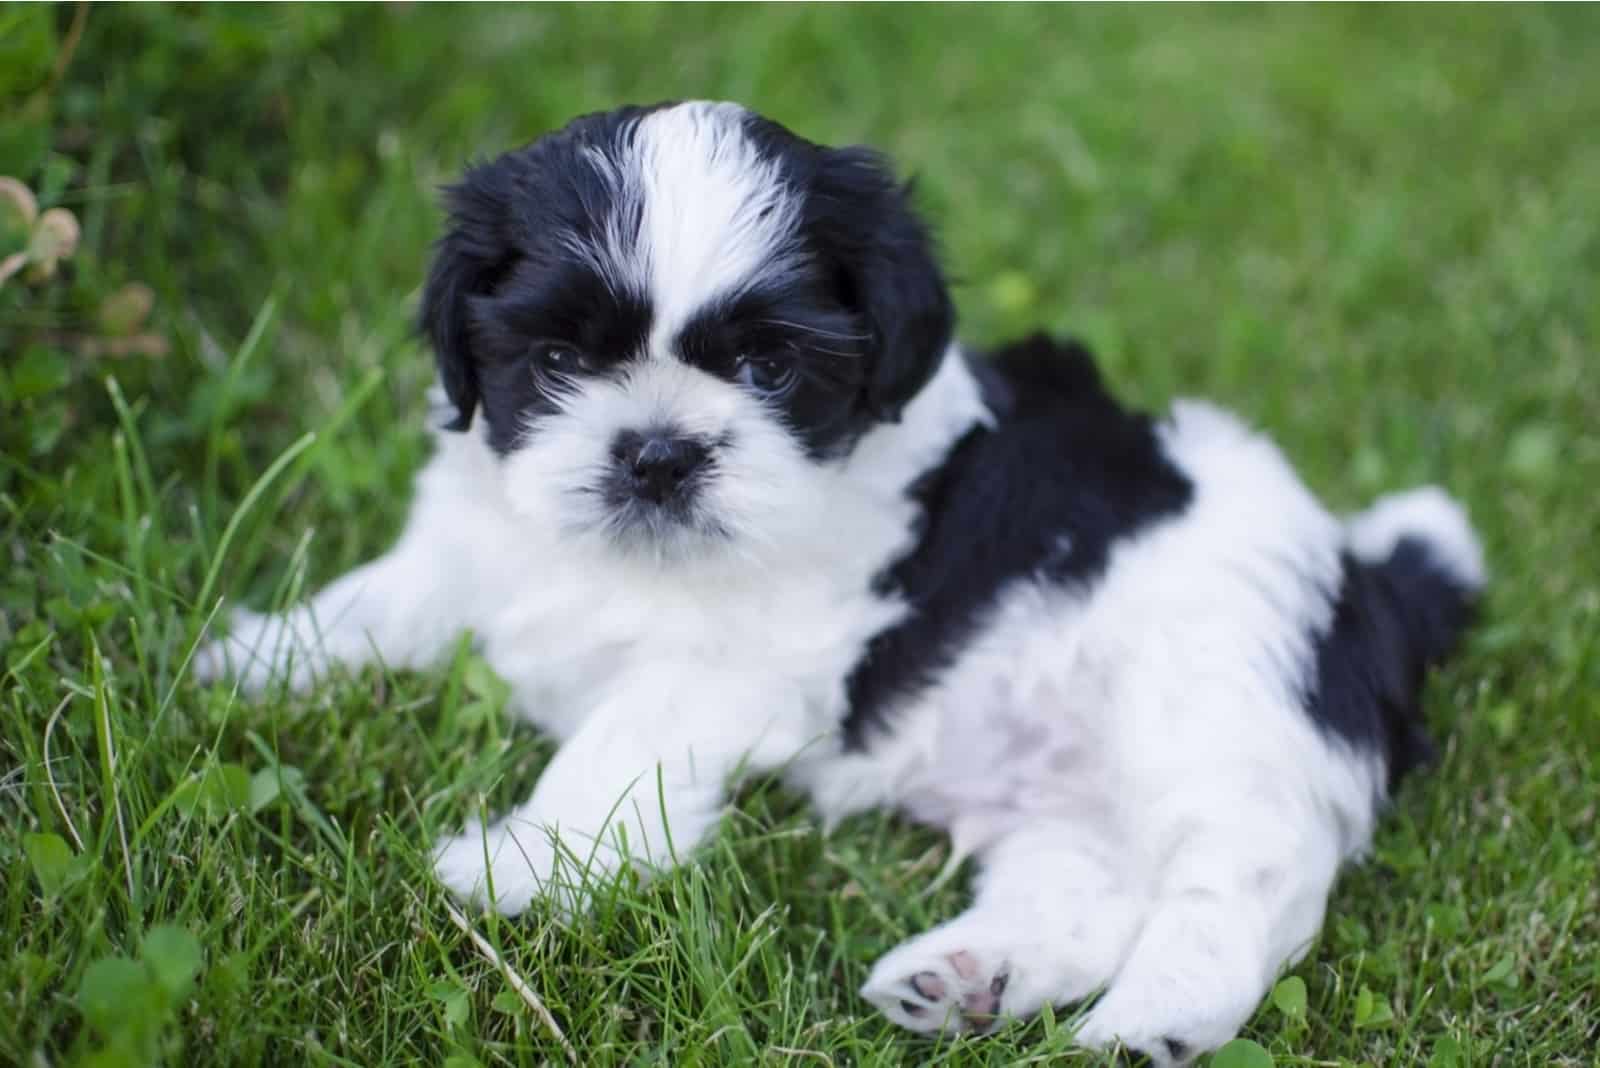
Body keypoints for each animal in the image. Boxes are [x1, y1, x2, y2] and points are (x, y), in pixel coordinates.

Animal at [193, 102, 1478, 1068]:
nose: (657, 452)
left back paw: (1150, 1021)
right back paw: (964, 977)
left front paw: (520, 866)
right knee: (1088, 881)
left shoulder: (745, 664)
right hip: (1078, 790)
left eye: (769, 366)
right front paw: (249, 662)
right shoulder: (476, 544)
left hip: (1217, 702)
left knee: (1242, 881)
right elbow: (380, 601)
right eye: (554, 359)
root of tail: (1367, 575)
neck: (621, 561)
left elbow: (618, 742)